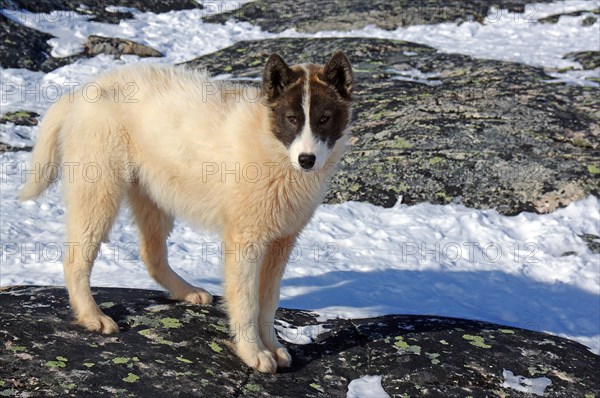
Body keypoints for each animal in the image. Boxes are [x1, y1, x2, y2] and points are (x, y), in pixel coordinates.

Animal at [21, 52, 354, 374]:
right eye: (292, 119)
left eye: (324, 119)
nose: (307, 159)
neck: (272, 146)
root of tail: (83, 90)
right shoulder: (246, 242)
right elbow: (247, 303)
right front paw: (254, 353)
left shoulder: (280, 243)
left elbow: (269, 302)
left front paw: (272, 346)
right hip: (100, 194)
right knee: (76, 259)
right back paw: (93, 316)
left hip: (155, 198)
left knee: (151, 255)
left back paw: (186, 291)